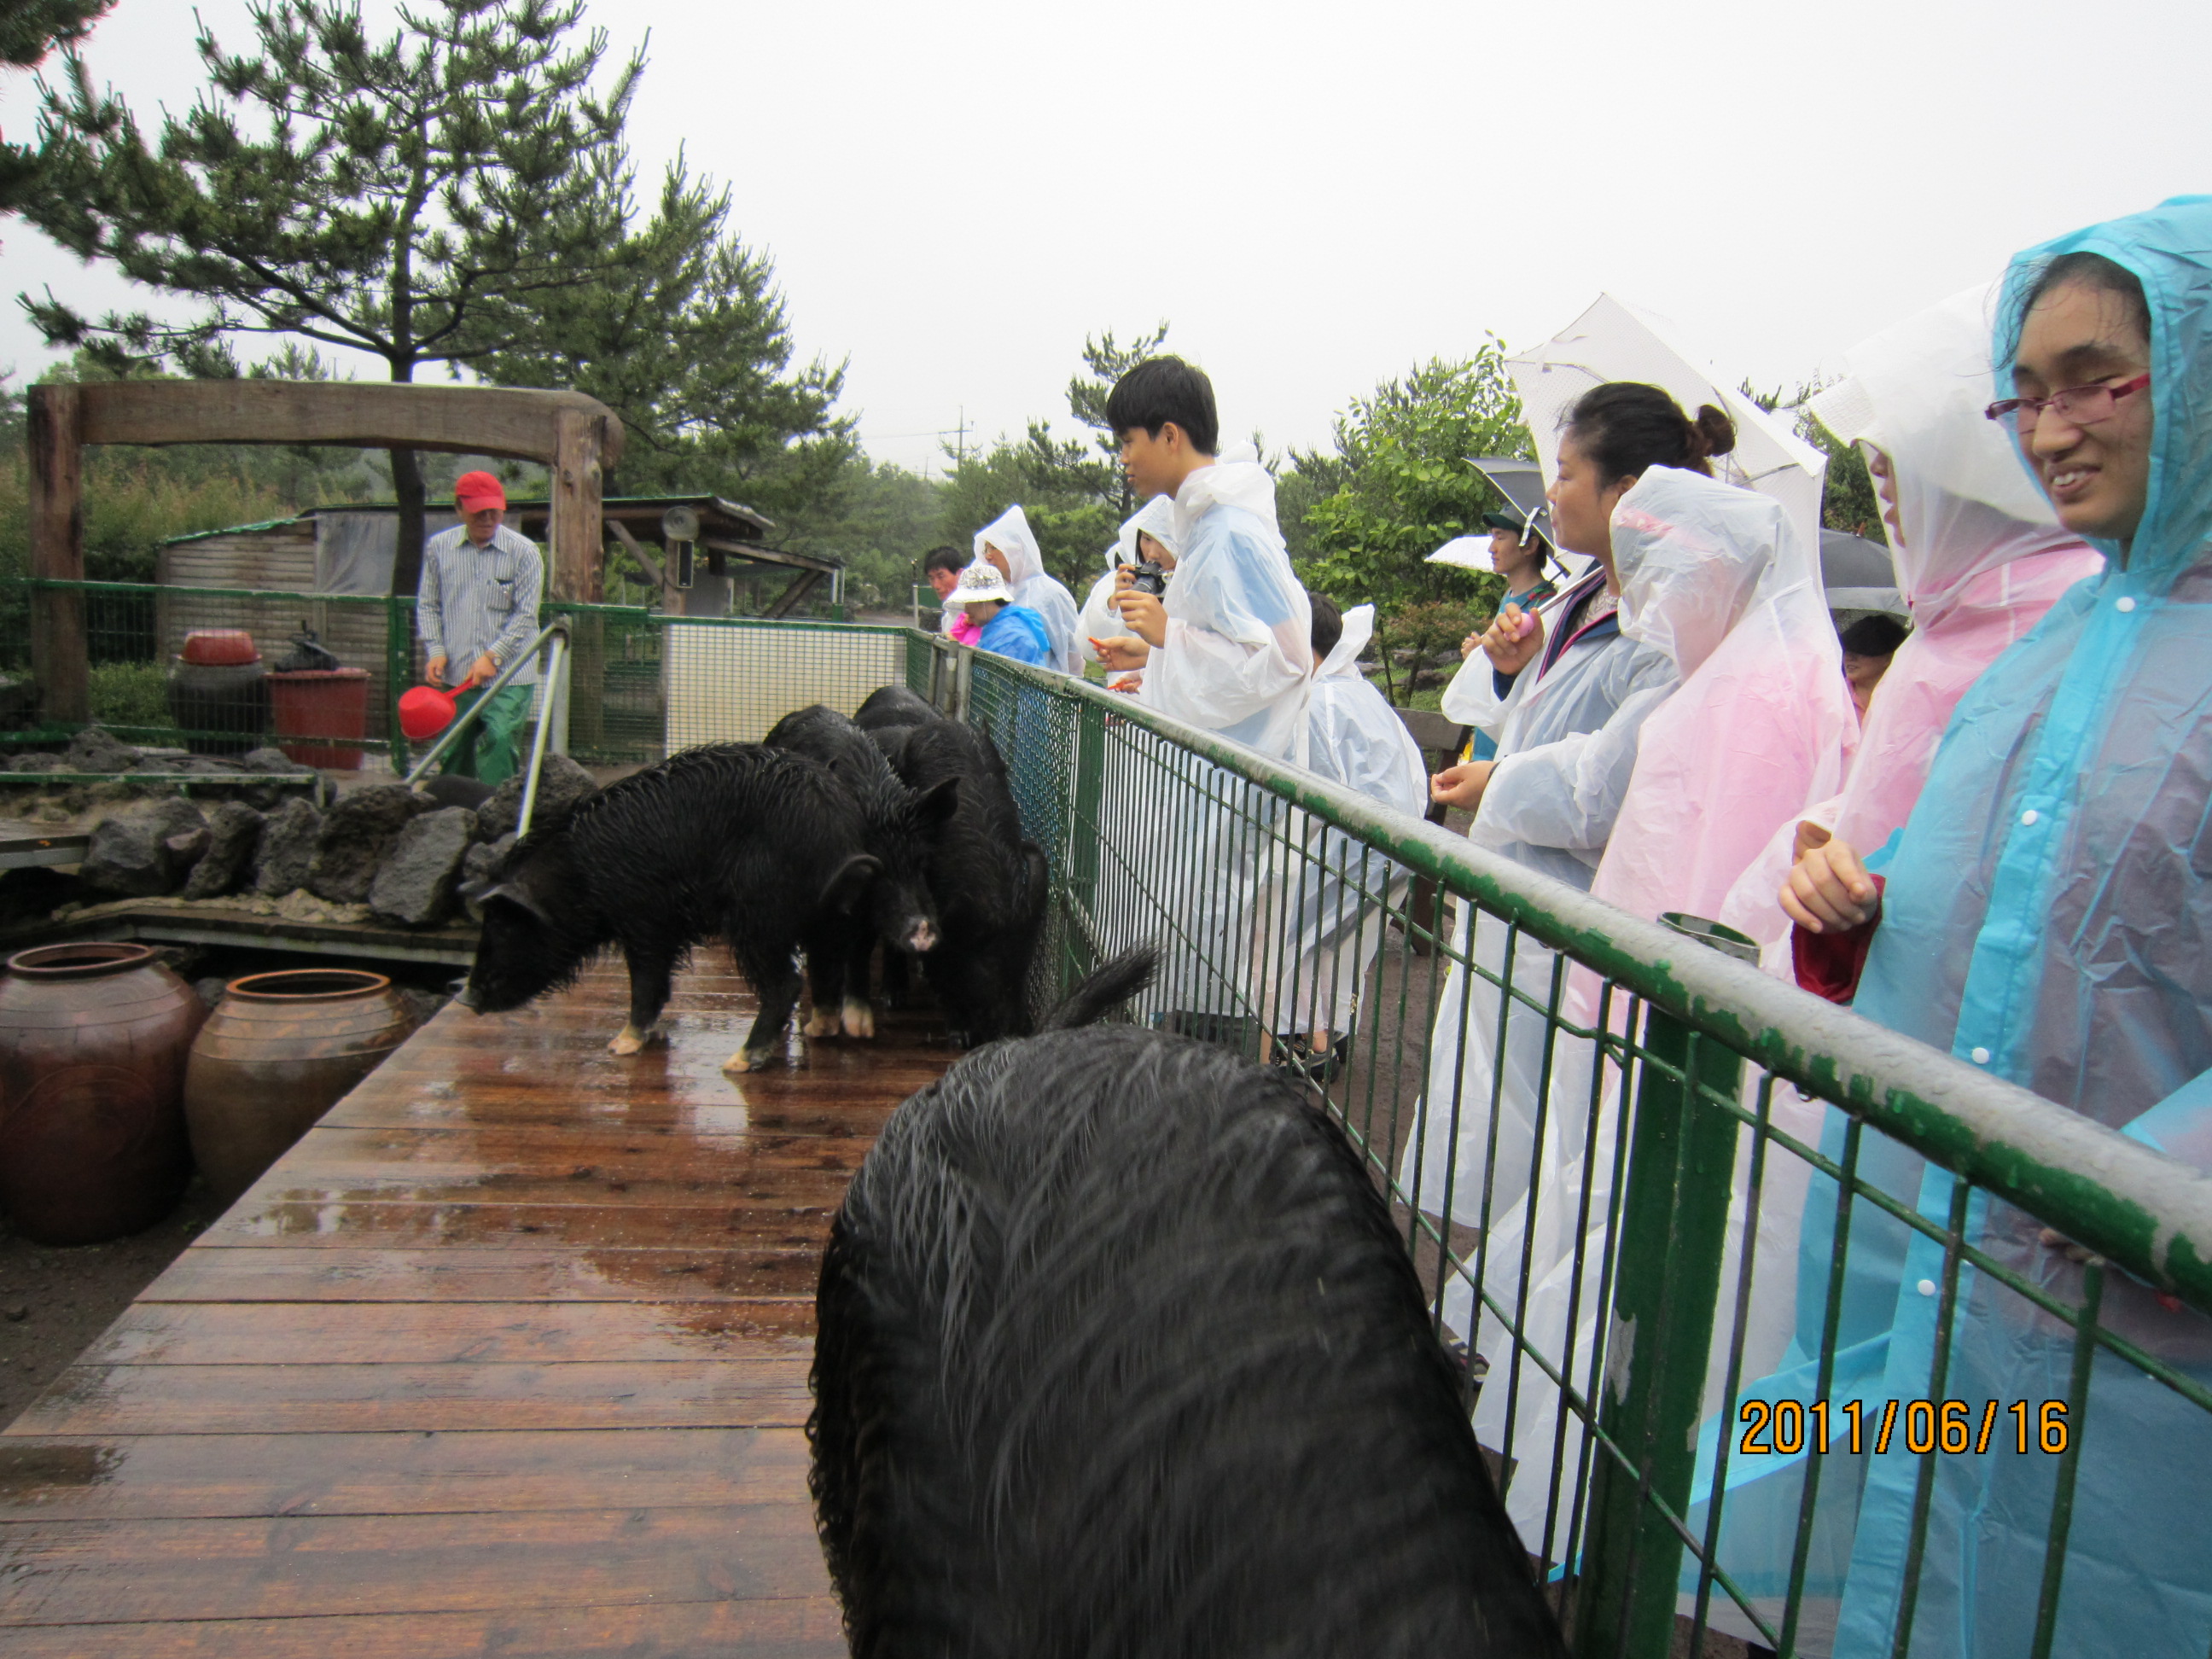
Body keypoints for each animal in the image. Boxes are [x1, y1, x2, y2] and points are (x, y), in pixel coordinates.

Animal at [462, 742, 902, 1079]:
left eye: (504, 925)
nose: (466, 998)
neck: (577, 874)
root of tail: (836, 836)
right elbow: (658, 985)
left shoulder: (645, 917)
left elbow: (645, 981)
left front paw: (619, 1046)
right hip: (830, 918)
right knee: (825, 966)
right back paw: (816, 1029)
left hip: (757, 911)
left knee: (786, 984)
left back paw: (736, 1063)